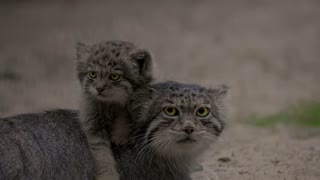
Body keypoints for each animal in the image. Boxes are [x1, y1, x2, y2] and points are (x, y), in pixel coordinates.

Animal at [76, 40, 154, 180]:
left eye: (114, 76)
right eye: (92, 74)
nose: (99, 88)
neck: (111, 103)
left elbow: (124, 112)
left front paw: (120, 134)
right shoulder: (93, 123)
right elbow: (102, 154)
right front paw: (107, 175)